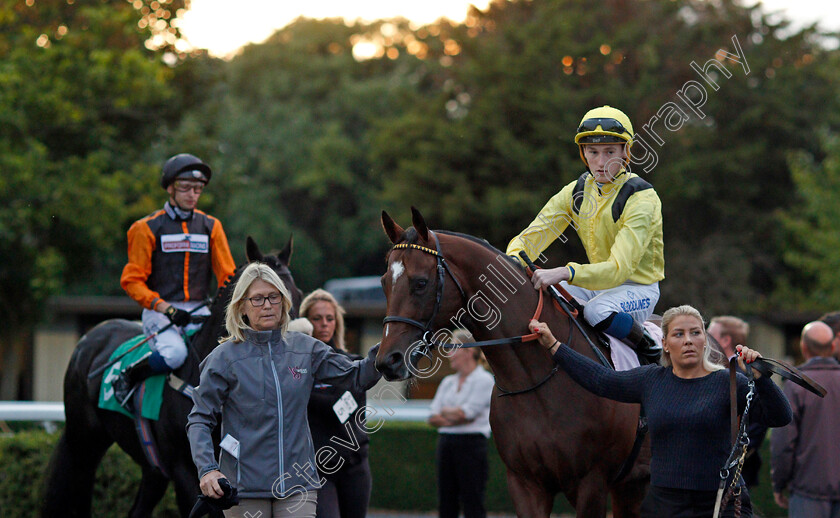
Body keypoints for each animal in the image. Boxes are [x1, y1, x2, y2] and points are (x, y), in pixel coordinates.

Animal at [40, 239, 302, 518]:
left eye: (296, 294)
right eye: (263, 298)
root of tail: (88, 340)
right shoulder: (184, 470)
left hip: (151, 467)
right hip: (84, 443)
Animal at [376, 209, 648, 518]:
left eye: (420, 282)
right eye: (384, 282)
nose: (388, 360)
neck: (538, 379)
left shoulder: (592, 483)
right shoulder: (525, 484)